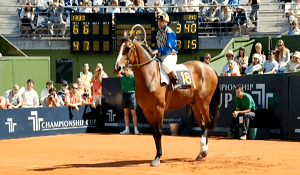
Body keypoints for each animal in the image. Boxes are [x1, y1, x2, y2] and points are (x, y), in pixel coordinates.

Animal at [114, 33, 220, 167]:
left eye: (128, 48)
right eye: (119, 48)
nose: (118, 67)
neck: (150, 75)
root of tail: (209, 68)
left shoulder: (159, 109)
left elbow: (159, 131)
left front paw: (158, 157)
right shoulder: (147, 110)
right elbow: (154, 132)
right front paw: (156, 156)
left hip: (204, 102)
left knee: (206, 122)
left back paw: (204, 151)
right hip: (195, 103)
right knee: (202, 124)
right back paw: (201, 153)